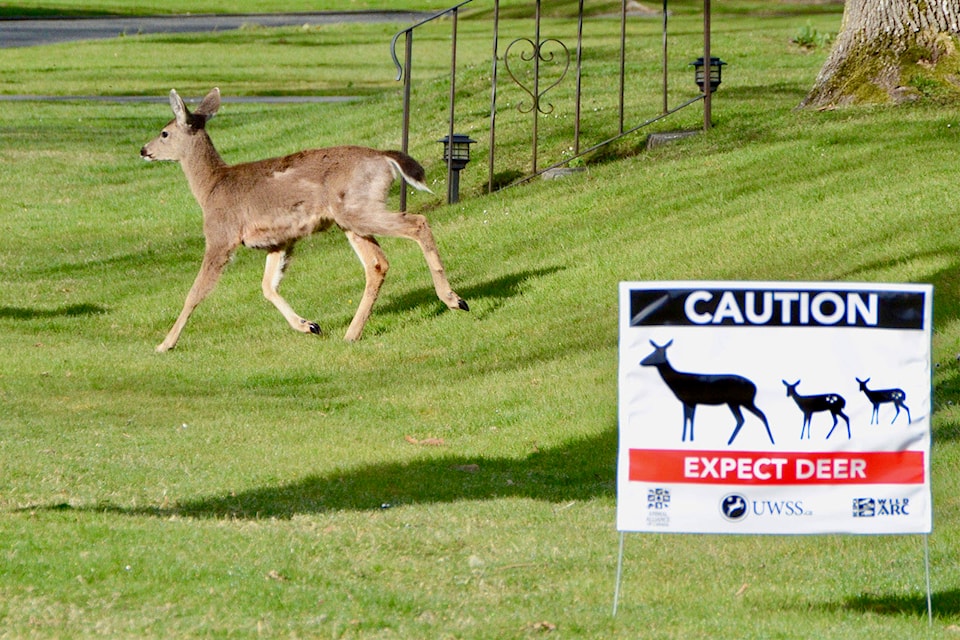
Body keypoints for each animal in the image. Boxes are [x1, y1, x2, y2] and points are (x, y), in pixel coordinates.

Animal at [141, 85, 466, 352]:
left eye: (164, 133)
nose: (144, 150)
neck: (210, 188)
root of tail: (385, 157)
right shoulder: (280, 240)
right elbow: (268, 287)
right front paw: (309, 325)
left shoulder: (221, 234)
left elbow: (195, 292)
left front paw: (165, 344)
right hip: (350, 218)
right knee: (377, 263)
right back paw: (352, 334)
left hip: (357, 209)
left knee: (418, 222)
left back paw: (454, 299)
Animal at [640, 340, 776, 444]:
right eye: (653, 351)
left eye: (656, 353)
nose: (641, 362)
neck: (677, 383)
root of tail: (755, 388)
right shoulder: (688, 401)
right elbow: (687, 418)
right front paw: (686, 439)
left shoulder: (690, 400)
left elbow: (689, 419)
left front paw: (689, 439)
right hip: (735, 402)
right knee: (743, 419)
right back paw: (731, 441)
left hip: (743, 401)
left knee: (759, 415)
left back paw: (770, 440)